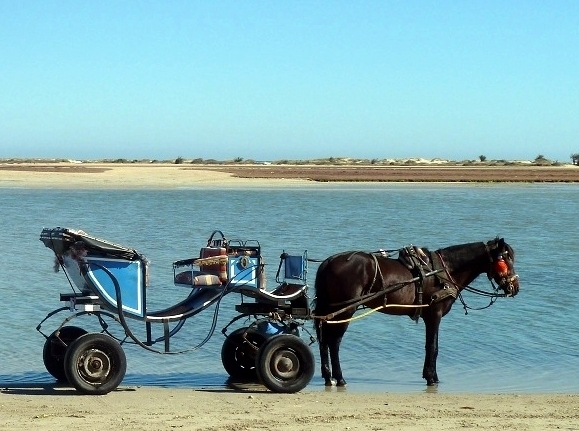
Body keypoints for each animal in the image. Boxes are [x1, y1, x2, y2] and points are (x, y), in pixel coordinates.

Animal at [312, 240, 520, 388]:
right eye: (505, 259)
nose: (515, 287)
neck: (444, 271)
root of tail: (329, 262)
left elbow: (431, 347)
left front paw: (431, 375)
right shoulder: (434, 314)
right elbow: (433, 347)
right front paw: (431, 377)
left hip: (330, 309)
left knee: (323, 338)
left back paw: (328, 376)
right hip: (346, 309)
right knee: (334, 342)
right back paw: (339, 378)